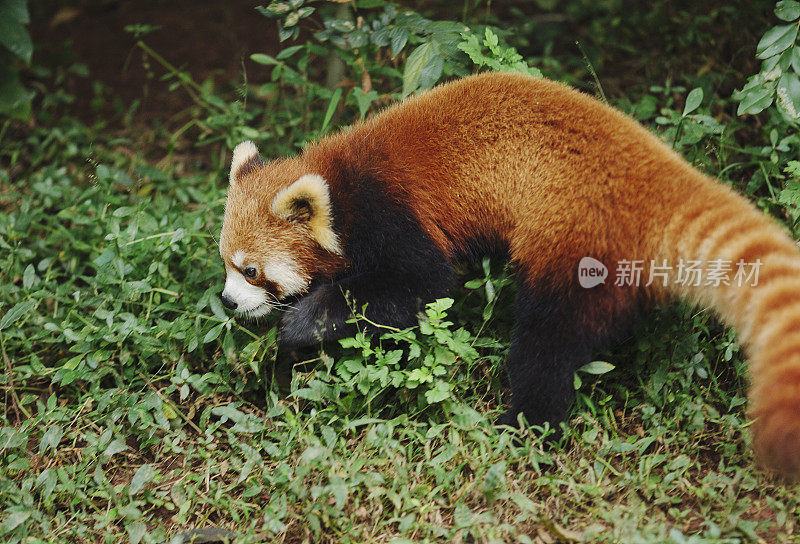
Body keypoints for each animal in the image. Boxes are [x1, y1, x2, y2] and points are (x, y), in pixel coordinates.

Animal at [222, 71, 800, 476]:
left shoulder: (391, 215)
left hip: (573, 241)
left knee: (547, 344)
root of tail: (653, 172)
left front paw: (300, 324)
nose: (228, 302)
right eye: (227, 265)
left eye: (252, 271)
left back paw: (524, 424)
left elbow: (418, 285)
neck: (338, 183)